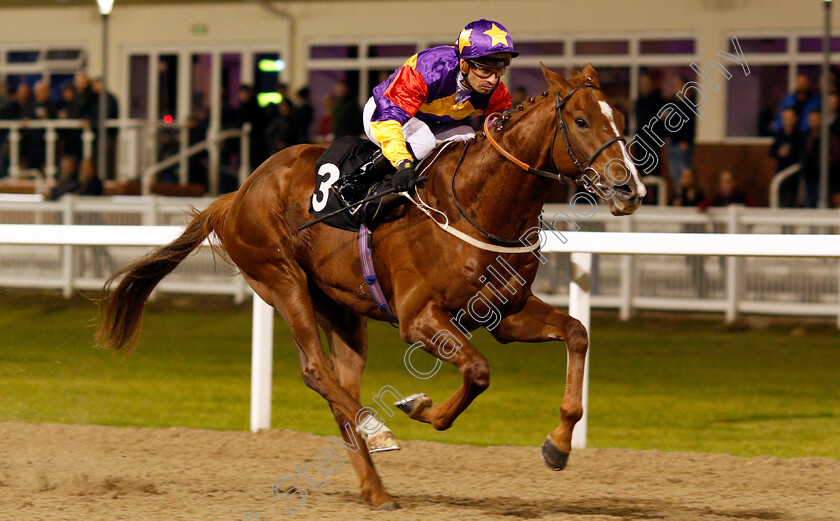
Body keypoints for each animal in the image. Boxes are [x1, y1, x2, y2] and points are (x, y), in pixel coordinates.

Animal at [100, 64, 648, 508]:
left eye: (619, 117)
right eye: (581, 121)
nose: (630, 189)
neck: (478, 204)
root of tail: (237, 194)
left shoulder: (506, 314)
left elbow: (576, 333)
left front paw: (558, 444)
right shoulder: (418, 318)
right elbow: (477, 372)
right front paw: (419, 407)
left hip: (341, 308)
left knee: (339, 382)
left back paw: (376, 489)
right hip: (280, 279)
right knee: (316, 372)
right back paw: (376, 428)